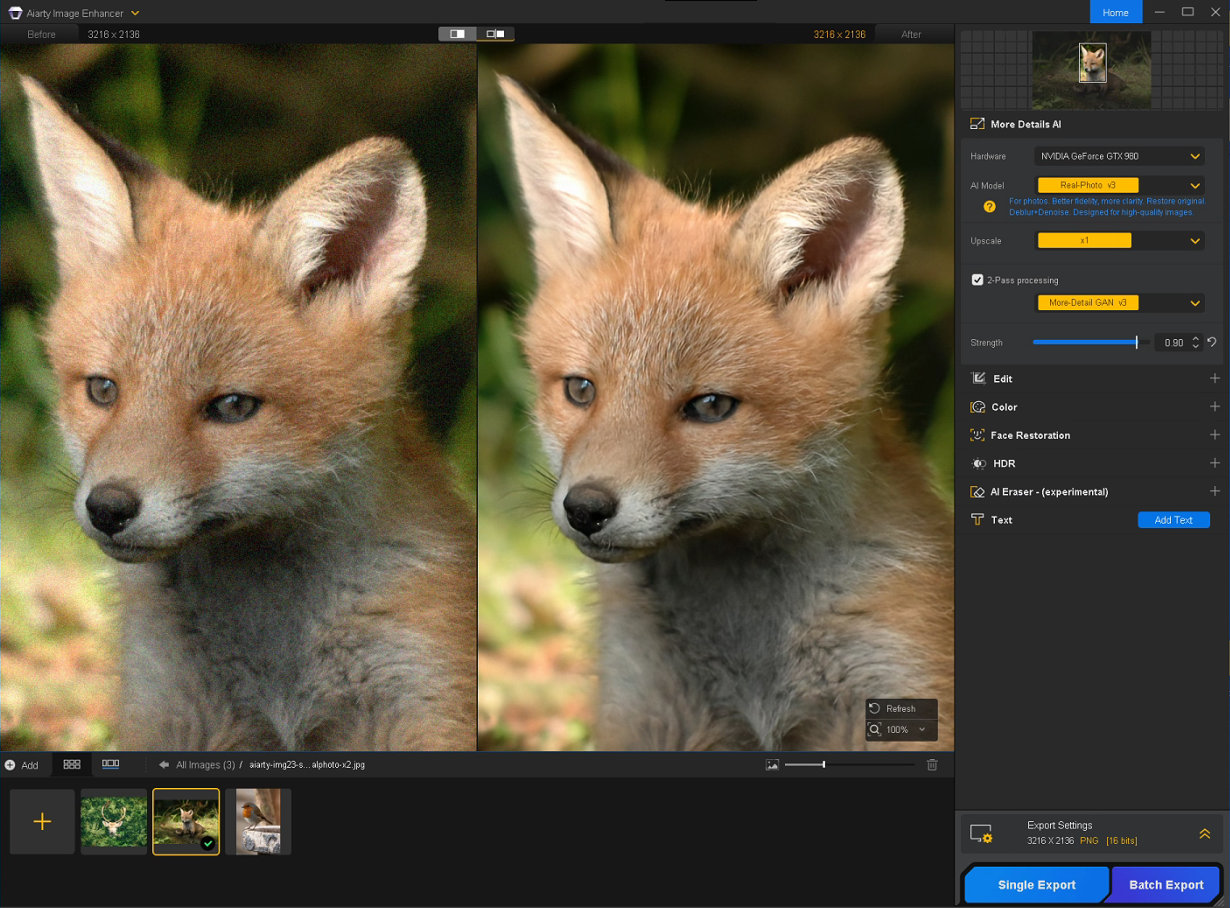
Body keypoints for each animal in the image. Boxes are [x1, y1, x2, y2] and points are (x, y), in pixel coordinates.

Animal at [500, 76, 953, 751]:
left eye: (710, 406)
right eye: (580, 391)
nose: (585, 509)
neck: (751, 660)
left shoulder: (895, 689)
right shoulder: (650, 715)